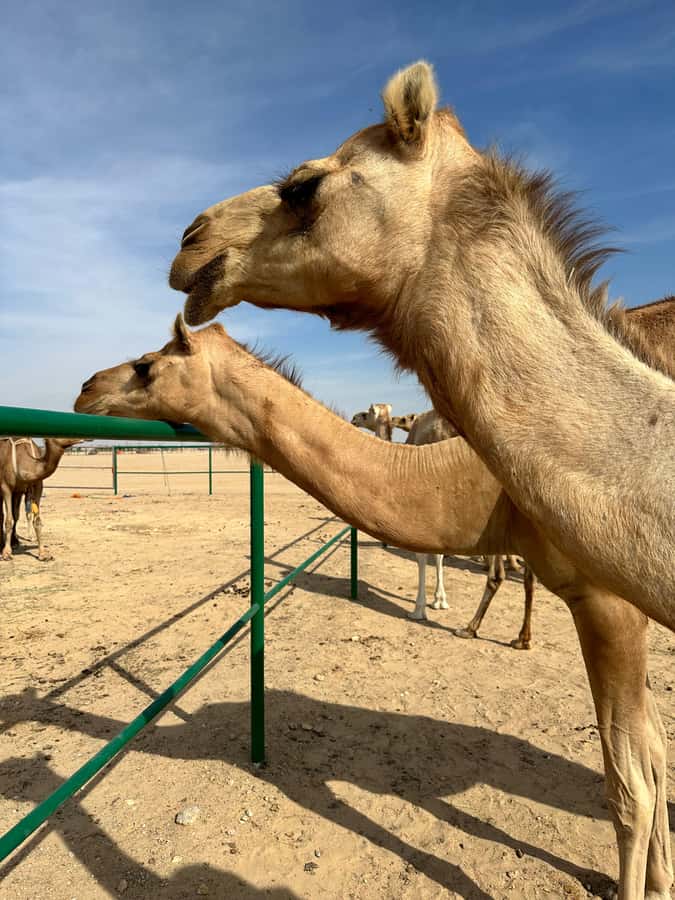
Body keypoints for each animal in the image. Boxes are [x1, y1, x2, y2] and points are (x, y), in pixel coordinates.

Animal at [75, 297, 675, 899]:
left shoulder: (608, 602)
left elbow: (632, 786)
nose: (84, 388)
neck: (487, 483)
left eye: (147, 365)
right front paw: (661, 882)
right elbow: (655, 750)